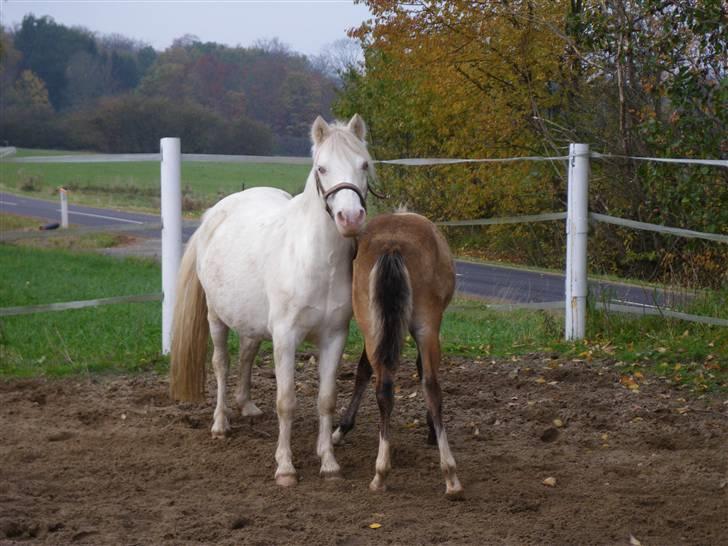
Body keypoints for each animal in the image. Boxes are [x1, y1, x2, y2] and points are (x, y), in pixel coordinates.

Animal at [171, 115, 372, 484]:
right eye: (321, 168)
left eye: (363, 164)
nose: (350, 219)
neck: (315, 261)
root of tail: (214, 214)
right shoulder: (285, 337)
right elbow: (286, 401)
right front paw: (285, 467)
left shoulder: (334, 337)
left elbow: (326, 399)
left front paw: (329, 461)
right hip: (216, 318)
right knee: (221, 364)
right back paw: (220, 424)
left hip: (250, 321)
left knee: (246, 355)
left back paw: (247, 406)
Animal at [332, 211, 464, 498]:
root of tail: (393, 245)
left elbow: (363, 371)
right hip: (426, 327)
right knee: (429, 385)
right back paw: (447, 473)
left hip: (375, 327)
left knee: (388, 388)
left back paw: (386, 471)